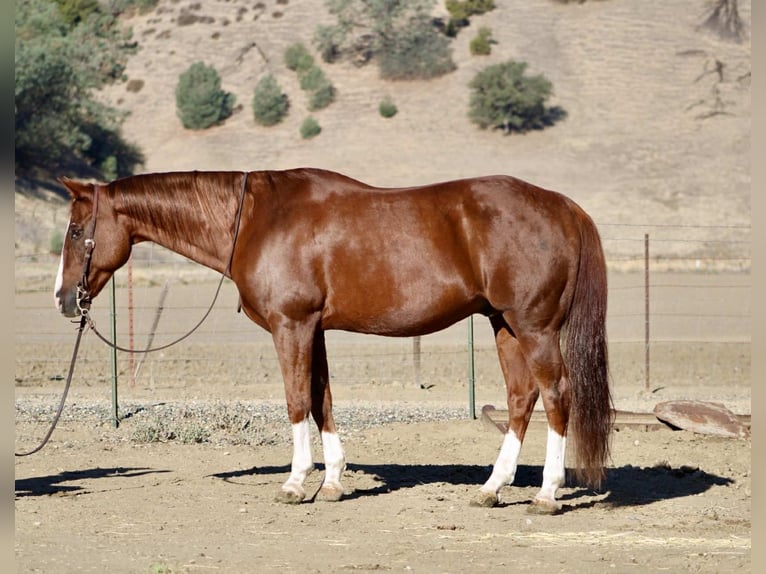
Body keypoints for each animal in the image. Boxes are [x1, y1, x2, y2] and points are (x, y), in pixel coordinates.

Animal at [54, 168, 612, 512]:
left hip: (534, 326)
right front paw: (333, 481)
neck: (254, 219)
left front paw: (296, 482)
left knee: (557, 395)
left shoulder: (292, 325)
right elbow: (322, 399)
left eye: (76, 230)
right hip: (504, 325)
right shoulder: (313, 329)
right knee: (522, 397)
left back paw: (546, 495)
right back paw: (492, 489)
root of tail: (562, 206)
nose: (63, 299)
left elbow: (297, 400)